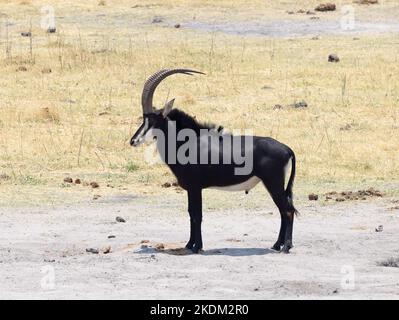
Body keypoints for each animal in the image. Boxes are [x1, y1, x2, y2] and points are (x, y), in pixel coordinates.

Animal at [130, 69, 298, 254]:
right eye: (143, 119)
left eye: (153, 121)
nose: (133, 141)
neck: (187, 142)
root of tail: (287, 149)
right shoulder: (191, 189)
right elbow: (191, 214)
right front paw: (189, 244)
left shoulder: (195, 187)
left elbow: (197, 215)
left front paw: (197, 247)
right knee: (283, 210)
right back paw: (277, 245)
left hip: (273, 183)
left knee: (287, 211)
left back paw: (286, 246)